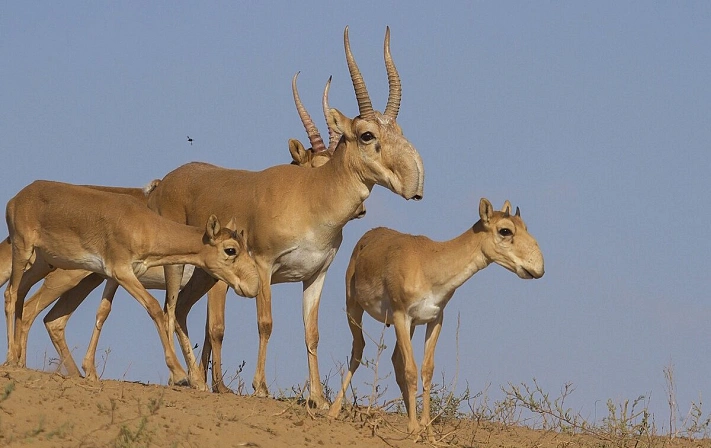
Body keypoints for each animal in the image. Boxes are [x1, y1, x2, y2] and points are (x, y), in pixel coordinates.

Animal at [3, 179, 262, 384]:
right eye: (231, 249)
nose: (254, 286)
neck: (143, 224)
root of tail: (17, 198)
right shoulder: (123, 273)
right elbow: (156, 308)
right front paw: (180, 375)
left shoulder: (112, 277)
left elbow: (103, 313)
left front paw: (91, 370)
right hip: (24, 250)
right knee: (12, 295)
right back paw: (11, 359)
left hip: (42, 262)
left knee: (28, 303)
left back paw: (21, 360)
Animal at [145, 28, 422, 406]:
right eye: (367, 135)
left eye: (400, 131)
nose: (415, 181)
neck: (310, 197)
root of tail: (164, 182)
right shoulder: (263, 266)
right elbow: (265, 323)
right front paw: (260, 387)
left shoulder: (315, 275)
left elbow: (312, 333)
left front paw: (318, 398)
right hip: (177, 269)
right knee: (170, 311)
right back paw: (190, 380)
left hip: (205, 275)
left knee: (184, 311)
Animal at [328, 198, 544, 440]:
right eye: (505, 230)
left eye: (525, 226)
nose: (539, 267)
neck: (429, 263)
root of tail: (367, 237)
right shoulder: (401, 316)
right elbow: (411, 370)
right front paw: (414, 429)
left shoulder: (434, 320)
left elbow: (426, 370)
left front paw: (428, 431)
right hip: (354, 307)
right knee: (358, 350)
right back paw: (333, 411)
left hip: (408, 326)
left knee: (395, 359)